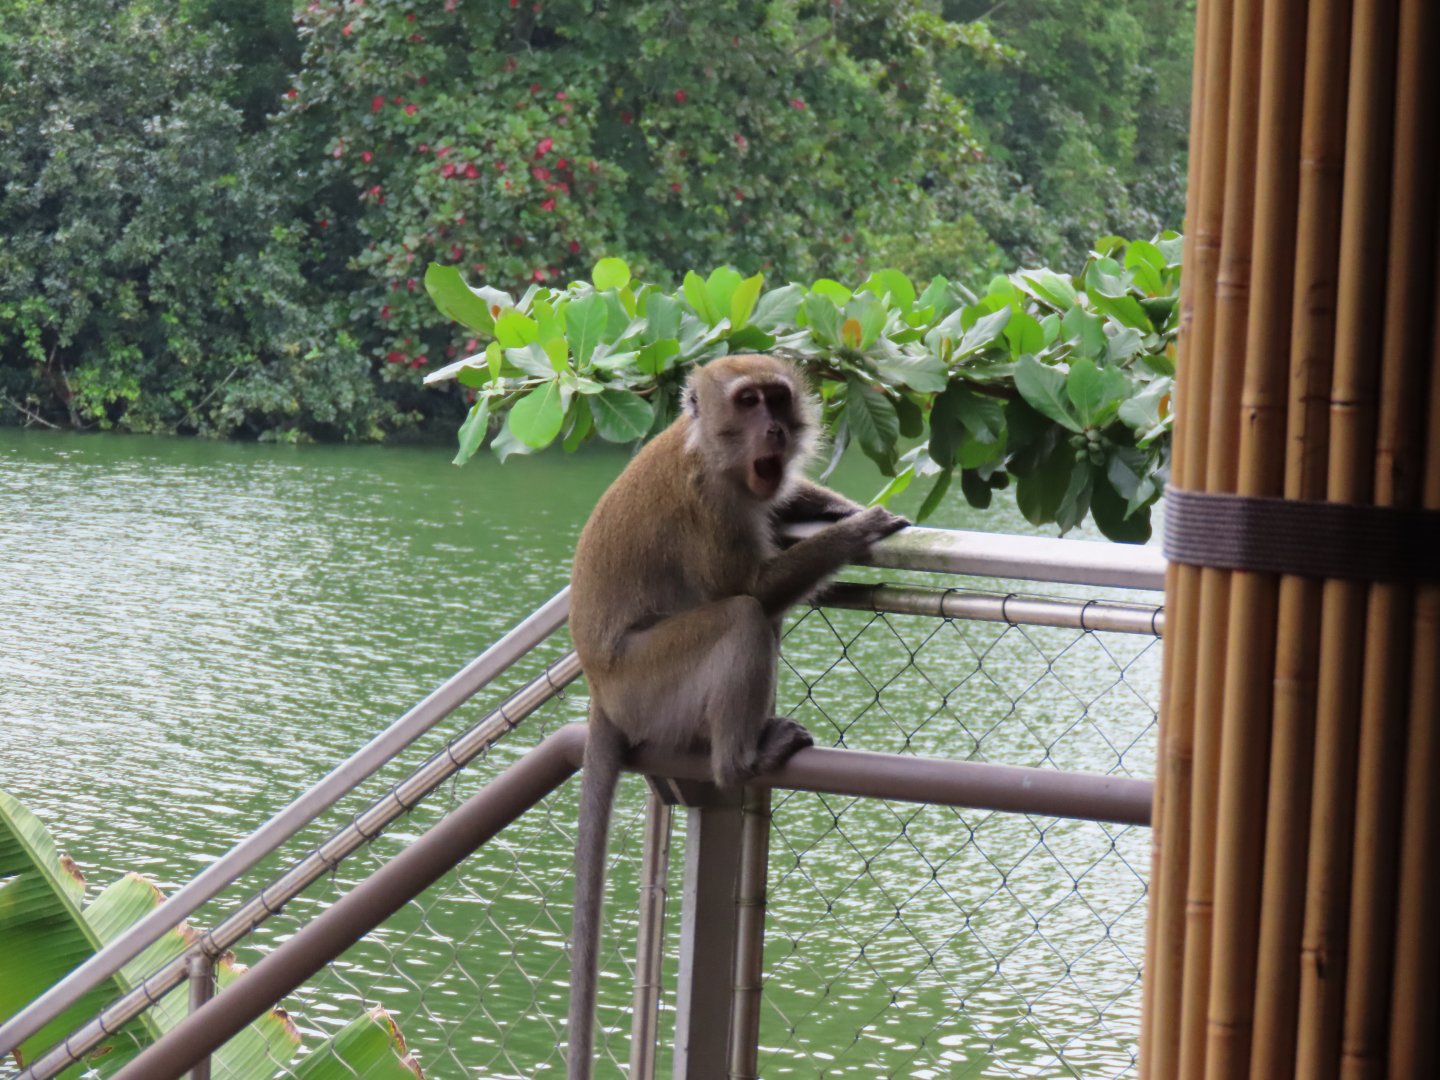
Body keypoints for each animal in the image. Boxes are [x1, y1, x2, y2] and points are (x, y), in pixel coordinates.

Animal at [564, 353, 908, 1076]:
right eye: (748, 402)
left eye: (777, 398)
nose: (774, 427)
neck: (710, 452)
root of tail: (602, 691)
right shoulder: (709, 506)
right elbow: (746, 589)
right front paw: (856, 528)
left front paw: (834, 504)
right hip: (651, 683)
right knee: (743, 618)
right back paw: (739, 759)